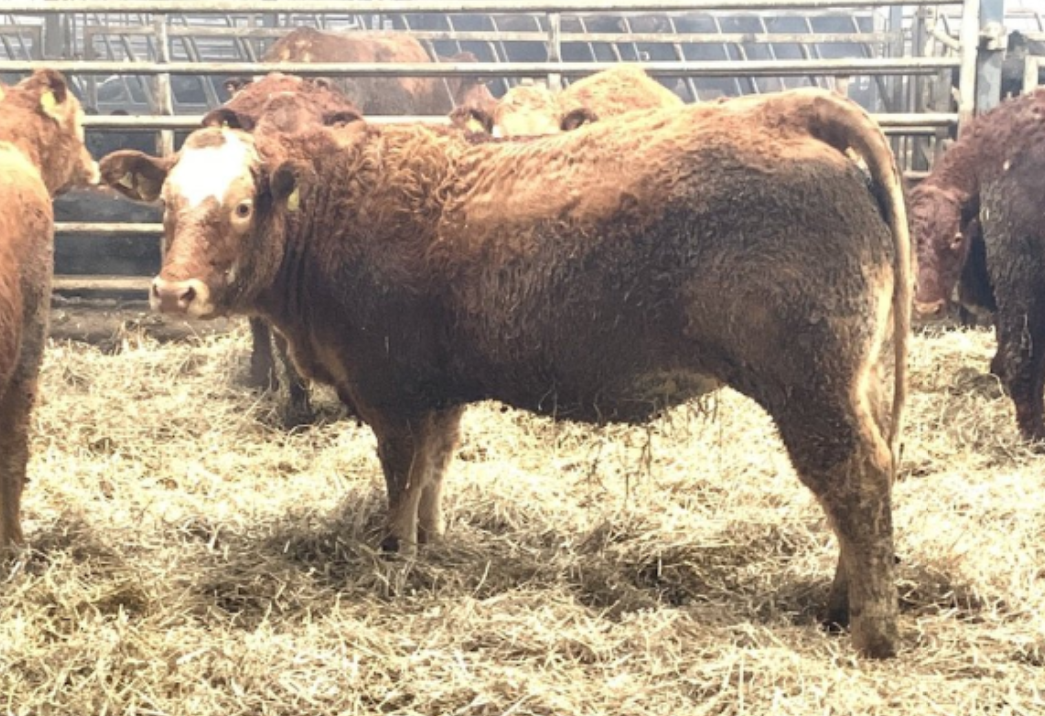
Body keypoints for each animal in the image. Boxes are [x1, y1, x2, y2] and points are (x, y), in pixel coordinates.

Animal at [100, 87, 911, 658]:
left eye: (241, 206)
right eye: (166, 205)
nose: (173, 291)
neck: (331, 214)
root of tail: (787, 111)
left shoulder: (390, 390)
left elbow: (401, 476)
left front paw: (394, 561)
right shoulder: (439, 391)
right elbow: (435, 467)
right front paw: (430, 544)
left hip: (809, 385)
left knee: (855, 481)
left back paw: (870, 632)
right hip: (854, 379)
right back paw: (838, 605)